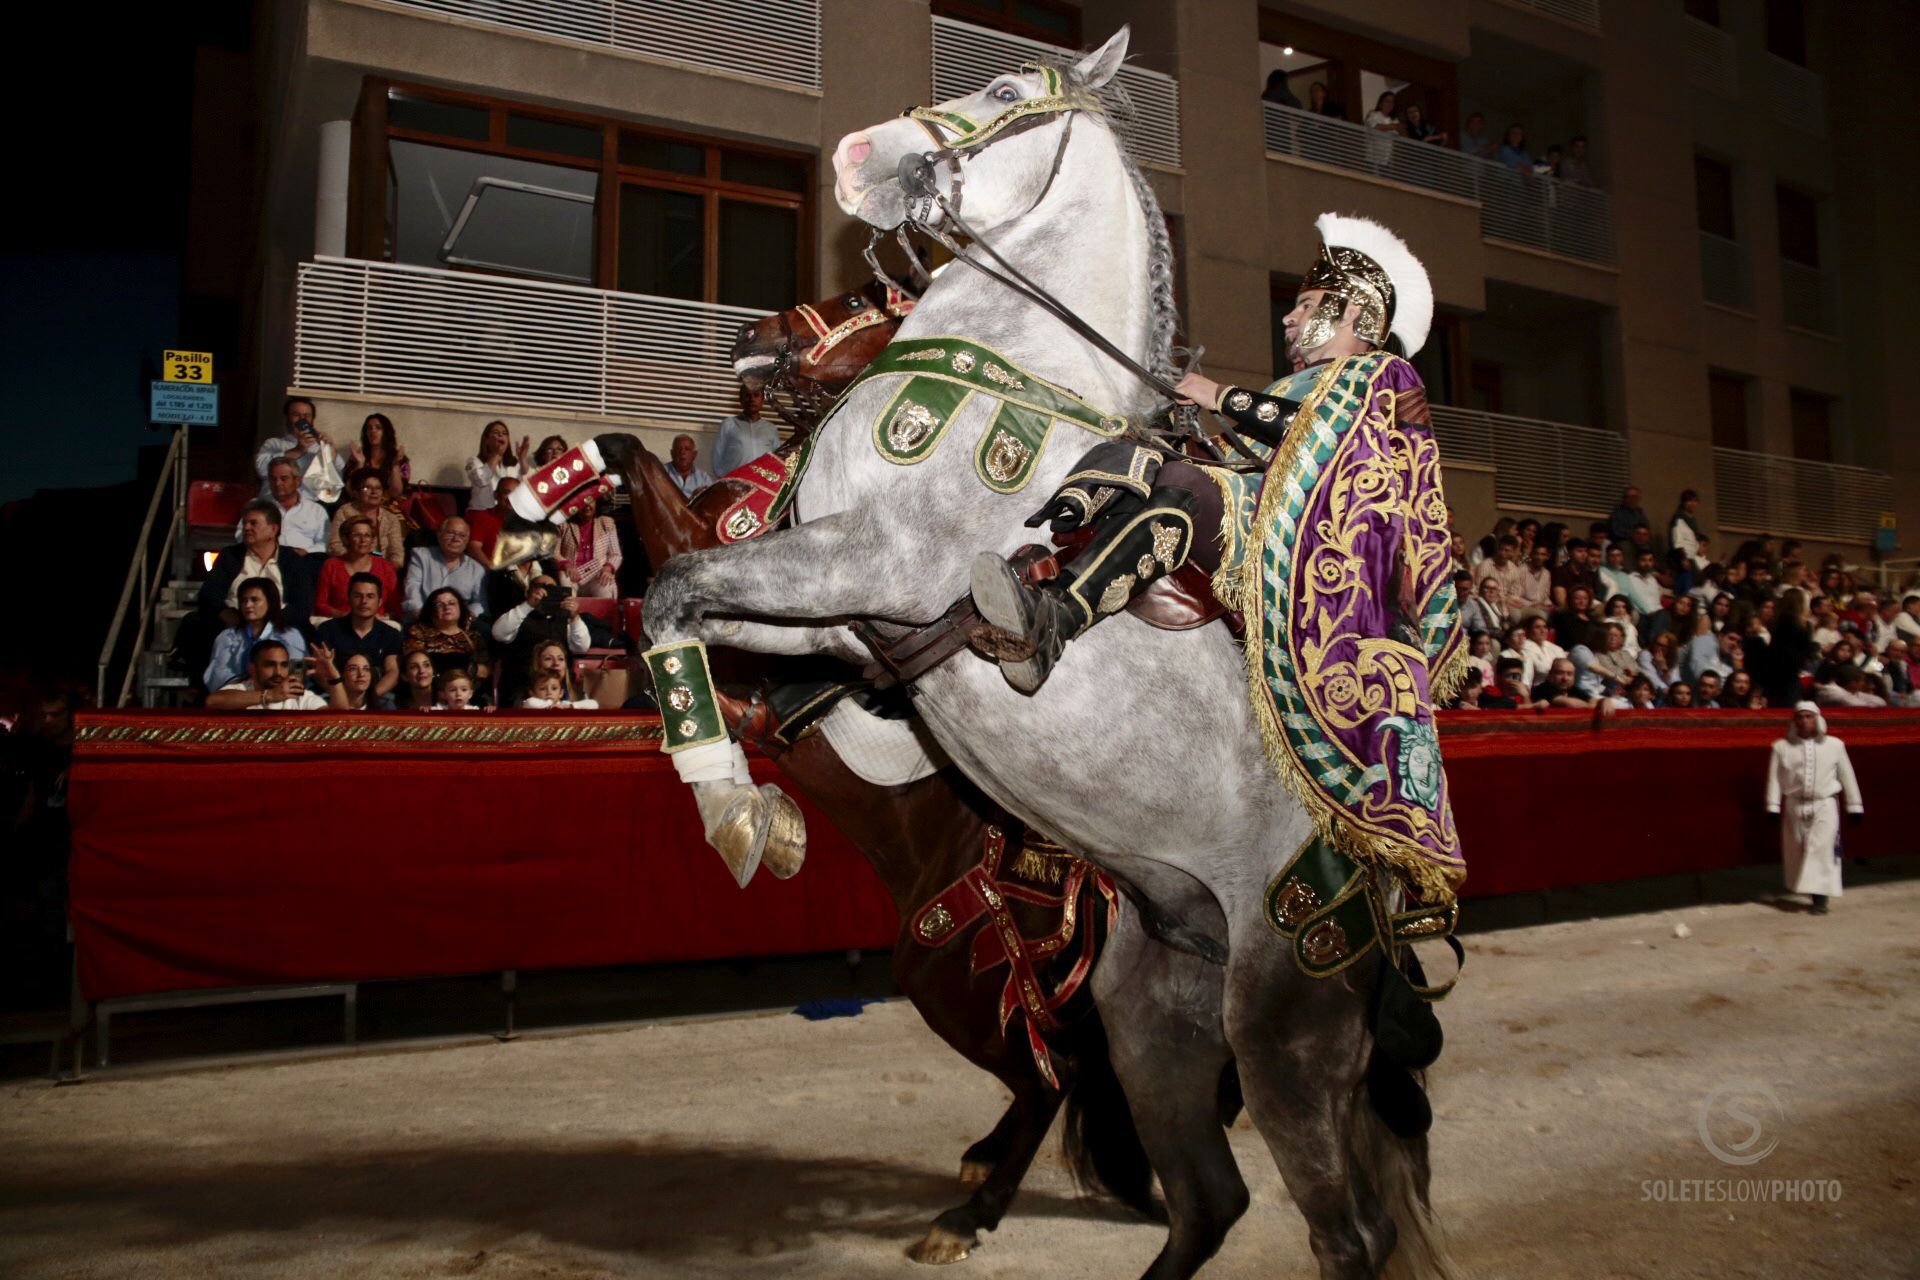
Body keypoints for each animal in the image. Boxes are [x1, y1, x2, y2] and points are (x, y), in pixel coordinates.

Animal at [645, 29, 1451, 1280]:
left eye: (1004, 88)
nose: (862, 154)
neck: (1003, 376)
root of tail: (1379, 902)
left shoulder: (864, 565)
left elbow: (674, 582)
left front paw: (740, 812)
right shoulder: (833, 618)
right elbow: (673, 606)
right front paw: (738, 806)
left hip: (1281, 1026)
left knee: (1345, 1230)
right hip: (1150, 1016)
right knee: (1207, 1197)